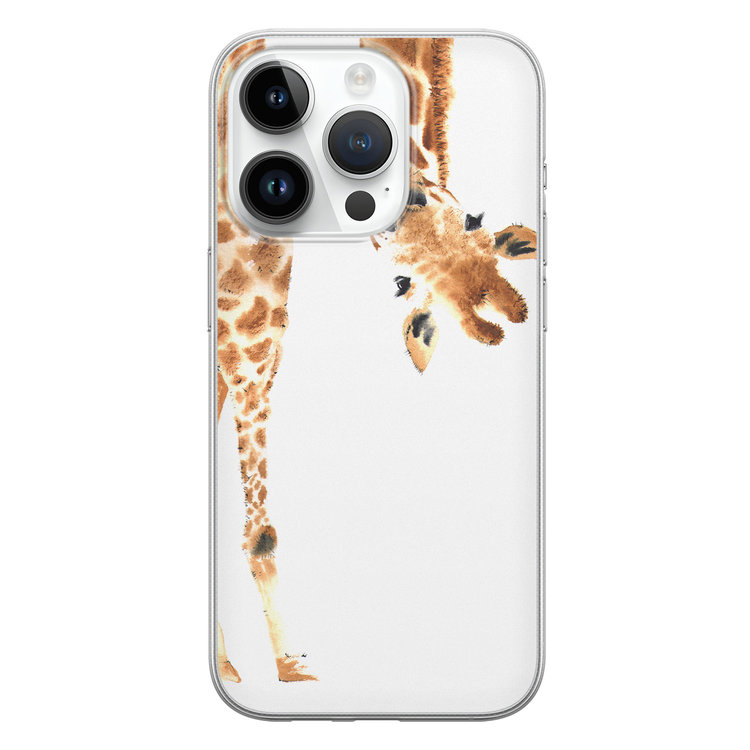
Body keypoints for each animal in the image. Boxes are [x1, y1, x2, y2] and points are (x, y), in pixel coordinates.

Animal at [214, 36, 537, 684]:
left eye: (477, 219)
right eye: (399, 282)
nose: (502, 317)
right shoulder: (243, 298)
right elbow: (260, 527)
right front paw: (287, 665)